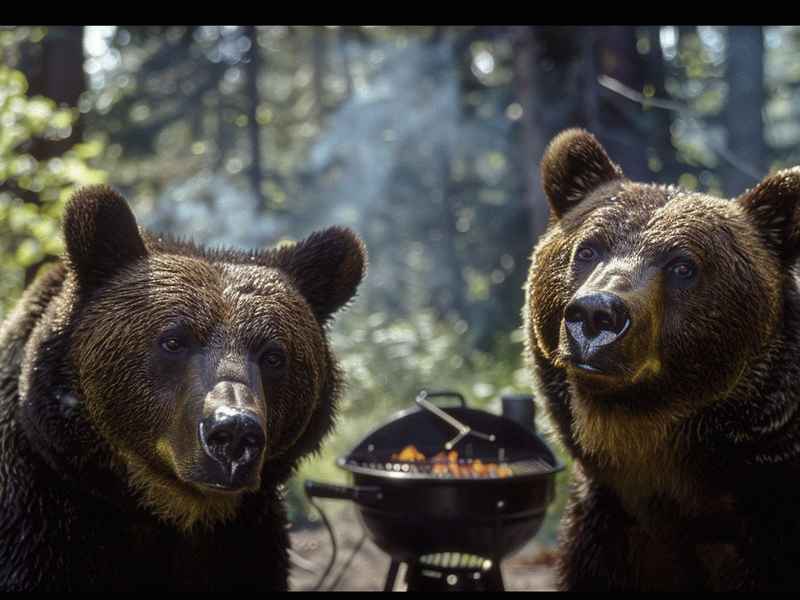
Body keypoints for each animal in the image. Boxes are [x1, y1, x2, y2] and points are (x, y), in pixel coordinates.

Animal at [0, 185, 366, 591]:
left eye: (273, 356)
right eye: (174, 340)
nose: (234, 434)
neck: (174, 509)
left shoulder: (249, 543)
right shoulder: (41, 522)